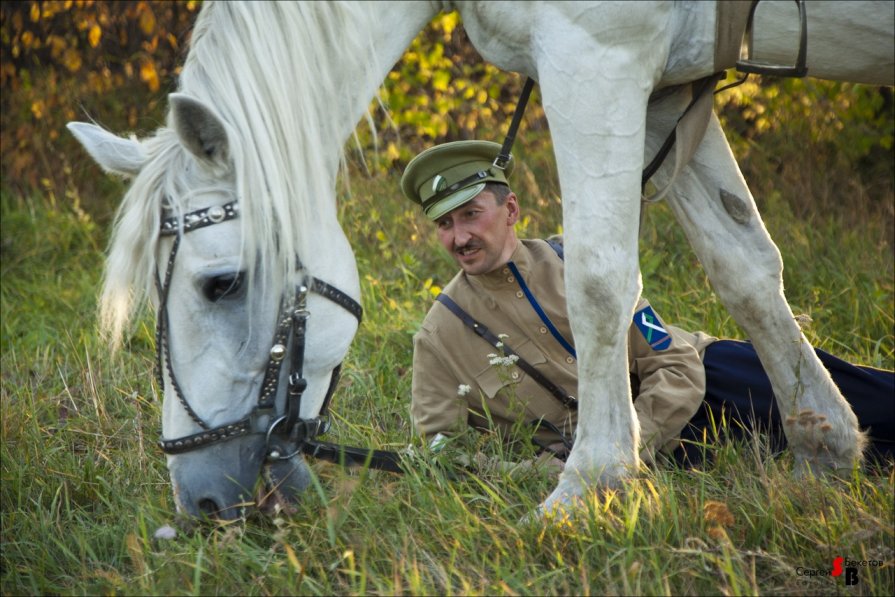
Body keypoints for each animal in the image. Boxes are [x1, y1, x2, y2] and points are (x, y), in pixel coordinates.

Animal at [65, 2, 895, 516]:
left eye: (222, 283)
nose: (200, 498)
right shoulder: (668, 90)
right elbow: (742, 265)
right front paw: (822, 453)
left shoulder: (598, 58)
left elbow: (598, 278)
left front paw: (590, 487)